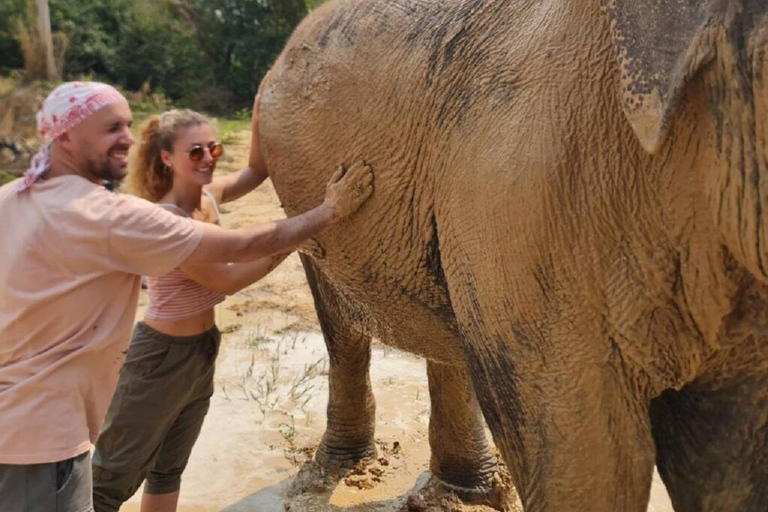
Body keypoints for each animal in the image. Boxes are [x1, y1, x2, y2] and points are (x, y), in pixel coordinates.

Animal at [255, 0, 768, 510]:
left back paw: (468, 491)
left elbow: (727, 450)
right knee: (341, 325)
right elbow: (595, 454)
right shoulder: (530, 199)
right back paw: (342, 472)